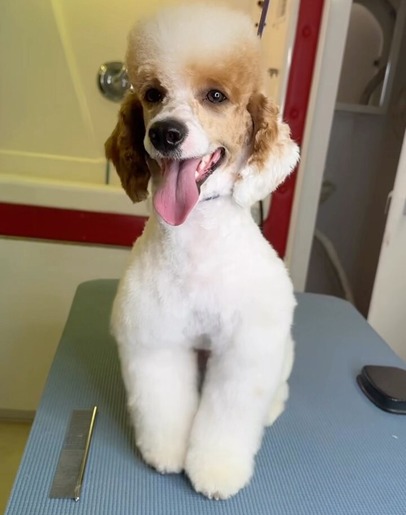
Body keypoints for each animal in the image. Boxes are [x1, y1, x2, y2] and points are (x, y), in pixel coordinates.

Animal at [106, 3, 300, 500]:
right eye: (153, 94)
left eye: (215, 95)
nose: (166, 133)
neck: (195, 244)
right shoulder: (156, 341)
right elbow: (164, 404)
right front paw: (168, 454)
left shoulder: (245, 349)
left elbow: (228, 418)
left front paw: (216, 470)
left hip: (280, 350)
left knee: (278, 388)